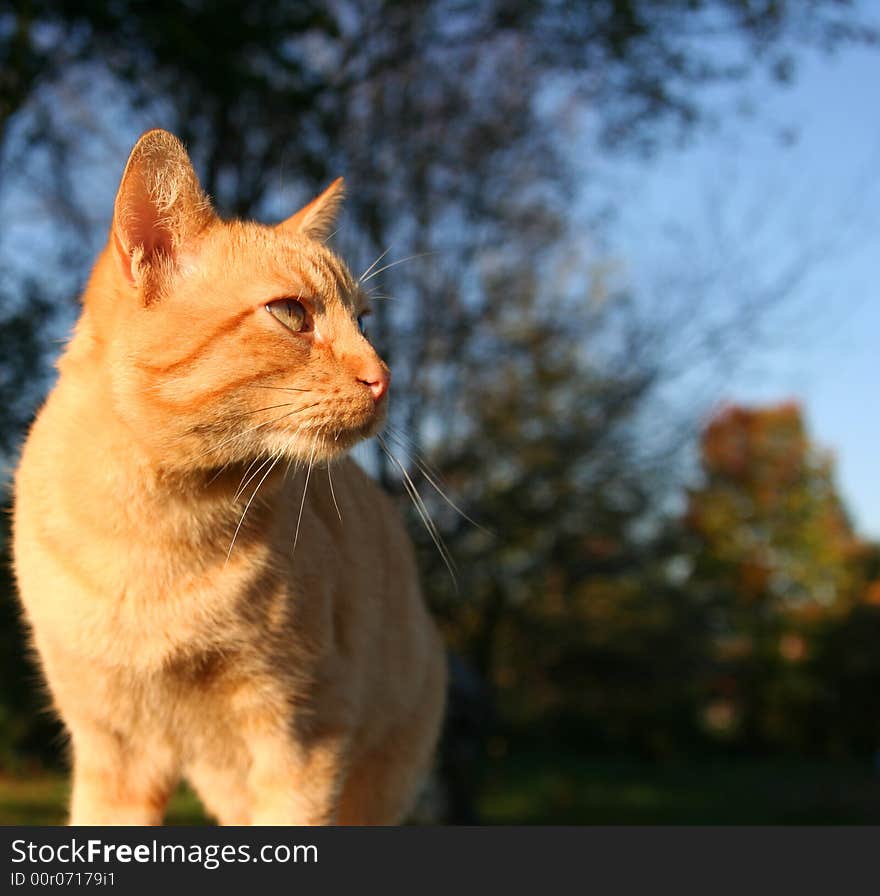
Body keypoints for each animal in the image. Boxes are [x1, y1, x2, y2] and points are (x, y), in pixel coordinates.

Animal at [10, 128, 444, 824]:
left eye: (364, 322)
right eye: (292, 313)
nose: (384, 377)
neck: (157, 533)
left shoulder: (302, 745)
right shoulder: (114, 755)